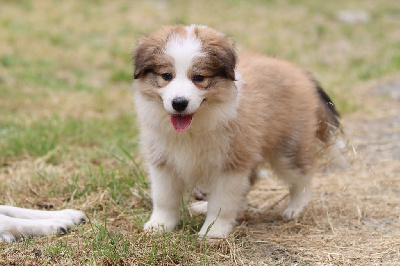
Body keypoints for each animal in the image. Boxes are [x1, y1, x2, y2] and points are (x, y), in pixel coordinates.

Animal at [132, 23, 340, 238]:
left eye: (199, 78)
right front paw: (160, 225)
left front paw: (213, 231)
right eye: (166, 76)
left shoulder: (231, 164)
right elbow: (164, 198)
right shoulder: (162, 161)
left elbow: (221, 203)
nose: (179, 103)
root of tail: (300, 73)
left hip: (288, 149)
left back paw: (296, 209)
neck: (195, 126)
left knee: (303, 176)